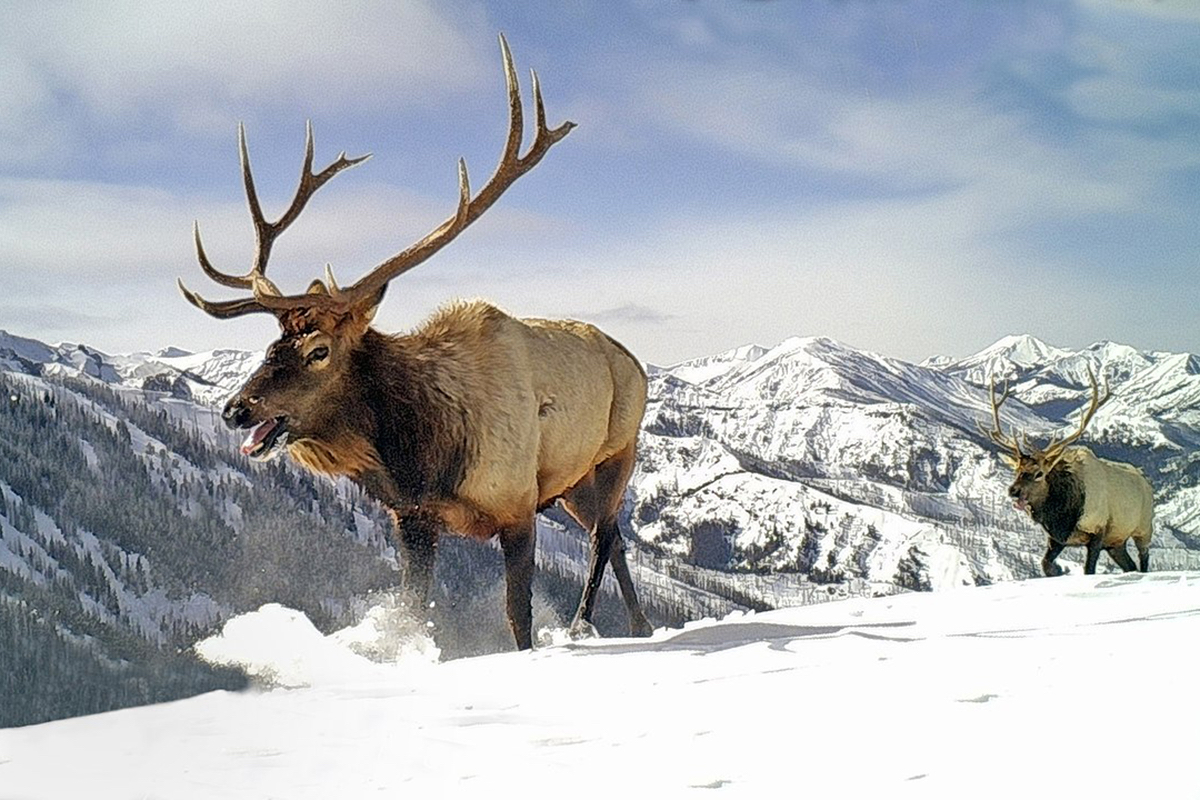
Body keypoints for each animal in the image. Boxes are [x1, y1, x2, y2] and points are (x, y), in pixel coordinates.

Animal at [177, 37, 652, 652]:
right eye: (269, 347)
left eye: (318, 351)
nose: (236, 409)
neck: (421, 453)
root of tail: (636, 361)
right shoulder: (413, 519)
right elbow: (413, 611)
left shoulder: (517, 506)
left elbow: (517, 616)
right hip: (573, 482)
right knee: (613, 535)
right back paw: (640, 623)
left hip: (618, 452)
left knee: (604, 535)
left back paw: (582, 623)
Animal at [984, 369, 1152, 575]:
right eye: (1016, 470)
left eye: (1039, 474)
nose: (1013, 490)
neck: (1063, 514)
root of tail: (1146, 482)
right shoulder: (1057, 538)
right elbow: (1045, 564)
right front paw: (1057, 571)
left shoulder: (1098, 530)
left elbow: (1089, 570)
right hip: (1116, 542)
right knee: (1130, 566)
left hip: (1144, 528)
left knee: (1143, 561)